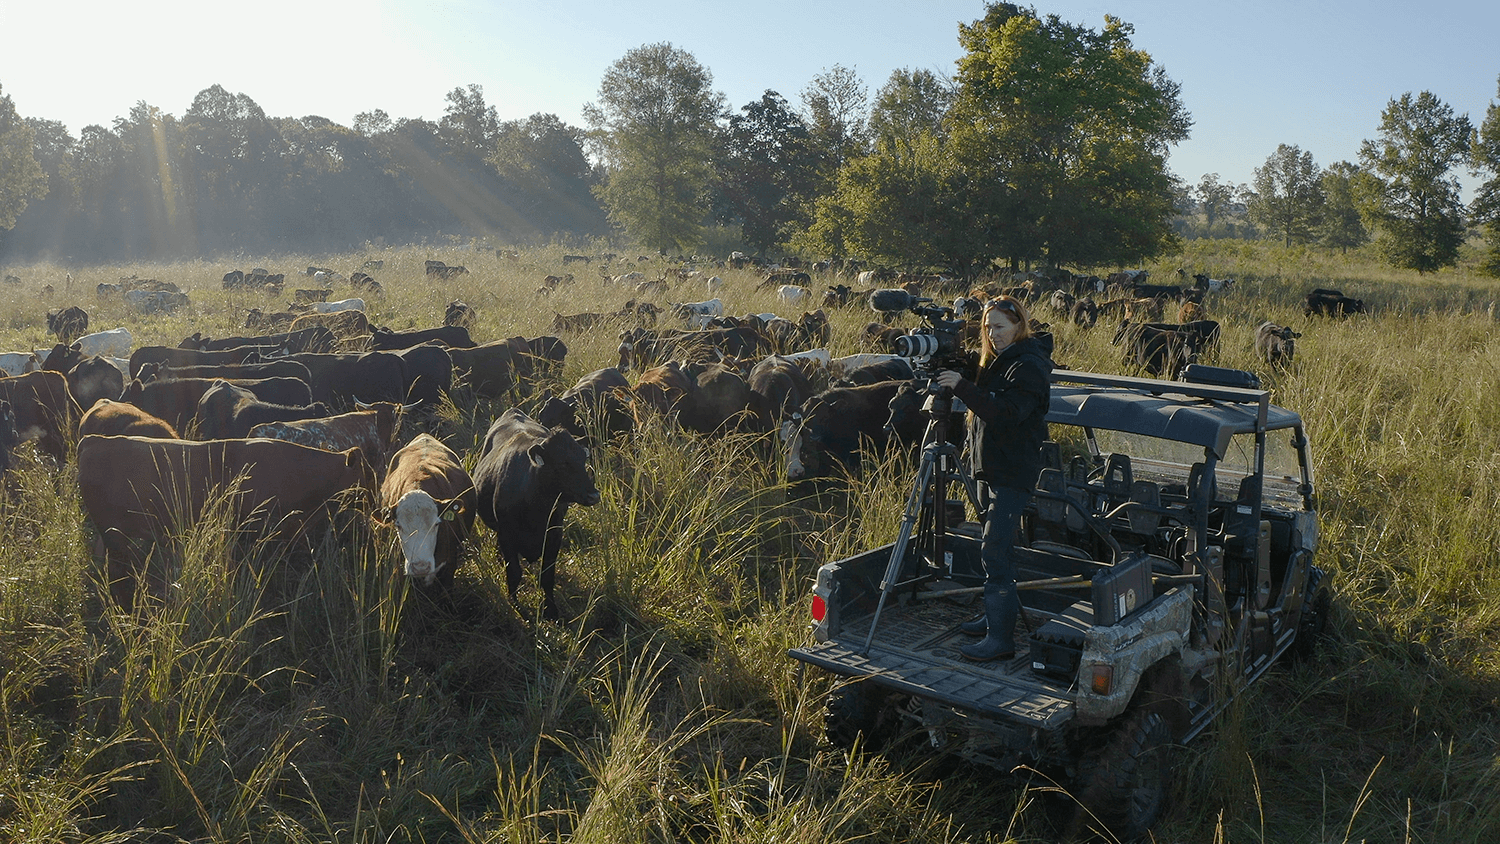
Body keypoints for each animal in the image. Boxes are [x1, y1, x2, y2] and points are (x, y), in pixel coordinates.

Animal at [474, 407, 603, 620]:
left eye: (583, 459)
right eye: (562, 464)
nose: (593, 495)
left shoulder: (554, 535)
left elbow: (547, 576)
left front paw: (551, 611)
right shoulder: (507, 536)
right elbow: (514, 573)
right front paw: (515, 605)